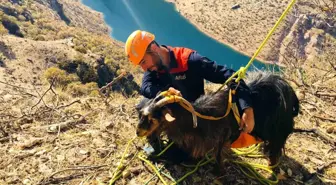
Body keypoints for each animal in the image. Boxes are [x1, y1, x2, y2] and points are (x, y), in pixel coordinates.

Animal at [135, 71, 300, 166]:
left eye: (153, 119)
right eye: (142, 114)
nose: (138, 132)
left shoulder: (218, 139)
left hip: (279, 133)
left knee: (276, 148)